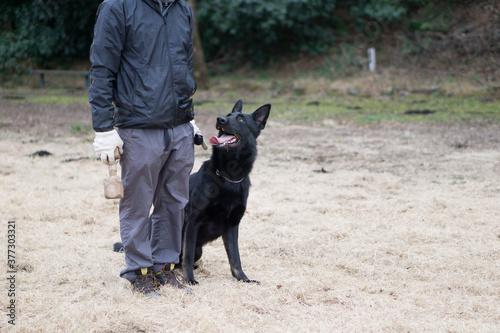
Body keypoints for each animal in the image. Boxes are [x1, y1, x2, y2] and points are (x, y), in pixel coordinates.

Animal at [183, 100, 272, 284]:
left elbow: (235, 256)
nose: (220, 119)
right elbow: (186, 255)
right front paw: (189, 279)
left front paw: (243, 278)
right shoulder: (193, 222)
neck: (229, 176)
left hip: (199, 250)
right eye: (227, 115)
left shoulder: (232, 226)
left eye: (241, 119)